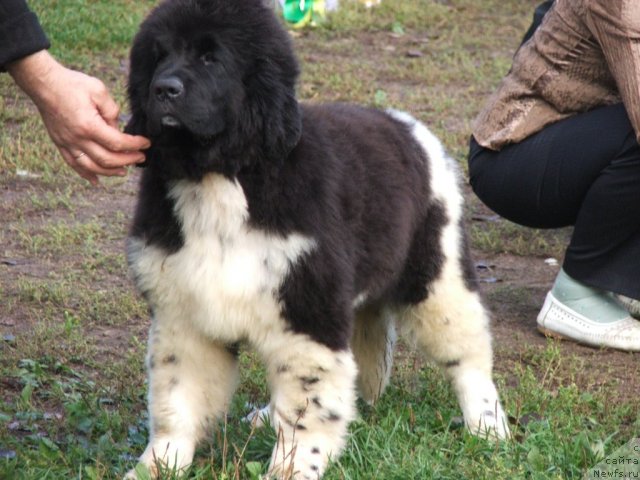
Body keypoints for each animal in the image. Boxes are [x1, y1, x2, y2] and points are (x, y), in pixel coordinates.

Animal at [122, 1, 508, 478]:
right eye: (158, 57)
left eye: (211, 58)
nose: (164, 89)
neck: (224, 177)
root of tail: (407, 125)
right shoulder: (185, 314)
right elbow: (177, 399)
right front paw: (160, 464)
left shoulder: (308, 314)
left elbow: (308, 407)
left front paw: (292, 467)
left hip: (437, 275)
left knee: (469, 355)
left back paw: (488, 426)